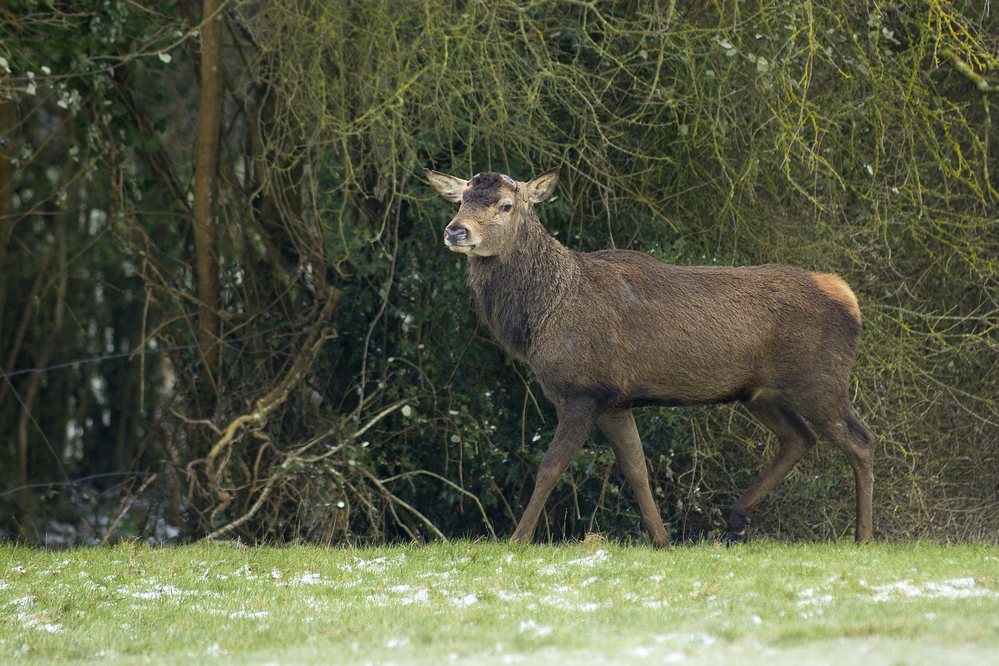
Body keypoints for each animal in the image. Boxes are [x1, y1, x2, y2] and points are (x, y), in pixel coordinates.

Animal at [426, 166, 880, 544]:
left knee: (861, 441)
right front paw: (662, 540)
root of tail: (848, 296)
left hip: (820, 379)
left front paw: (517, 539)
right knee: (798, 438)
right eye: (461, 199)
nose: (455, 231)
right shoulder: (614, 401)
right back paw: (736, 517)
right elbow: (637, 470)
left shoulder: (583, 391)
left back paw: (863, 536)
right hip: (761, 392)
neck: (540, 317)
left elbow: (550, 466)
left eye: (505, 204)